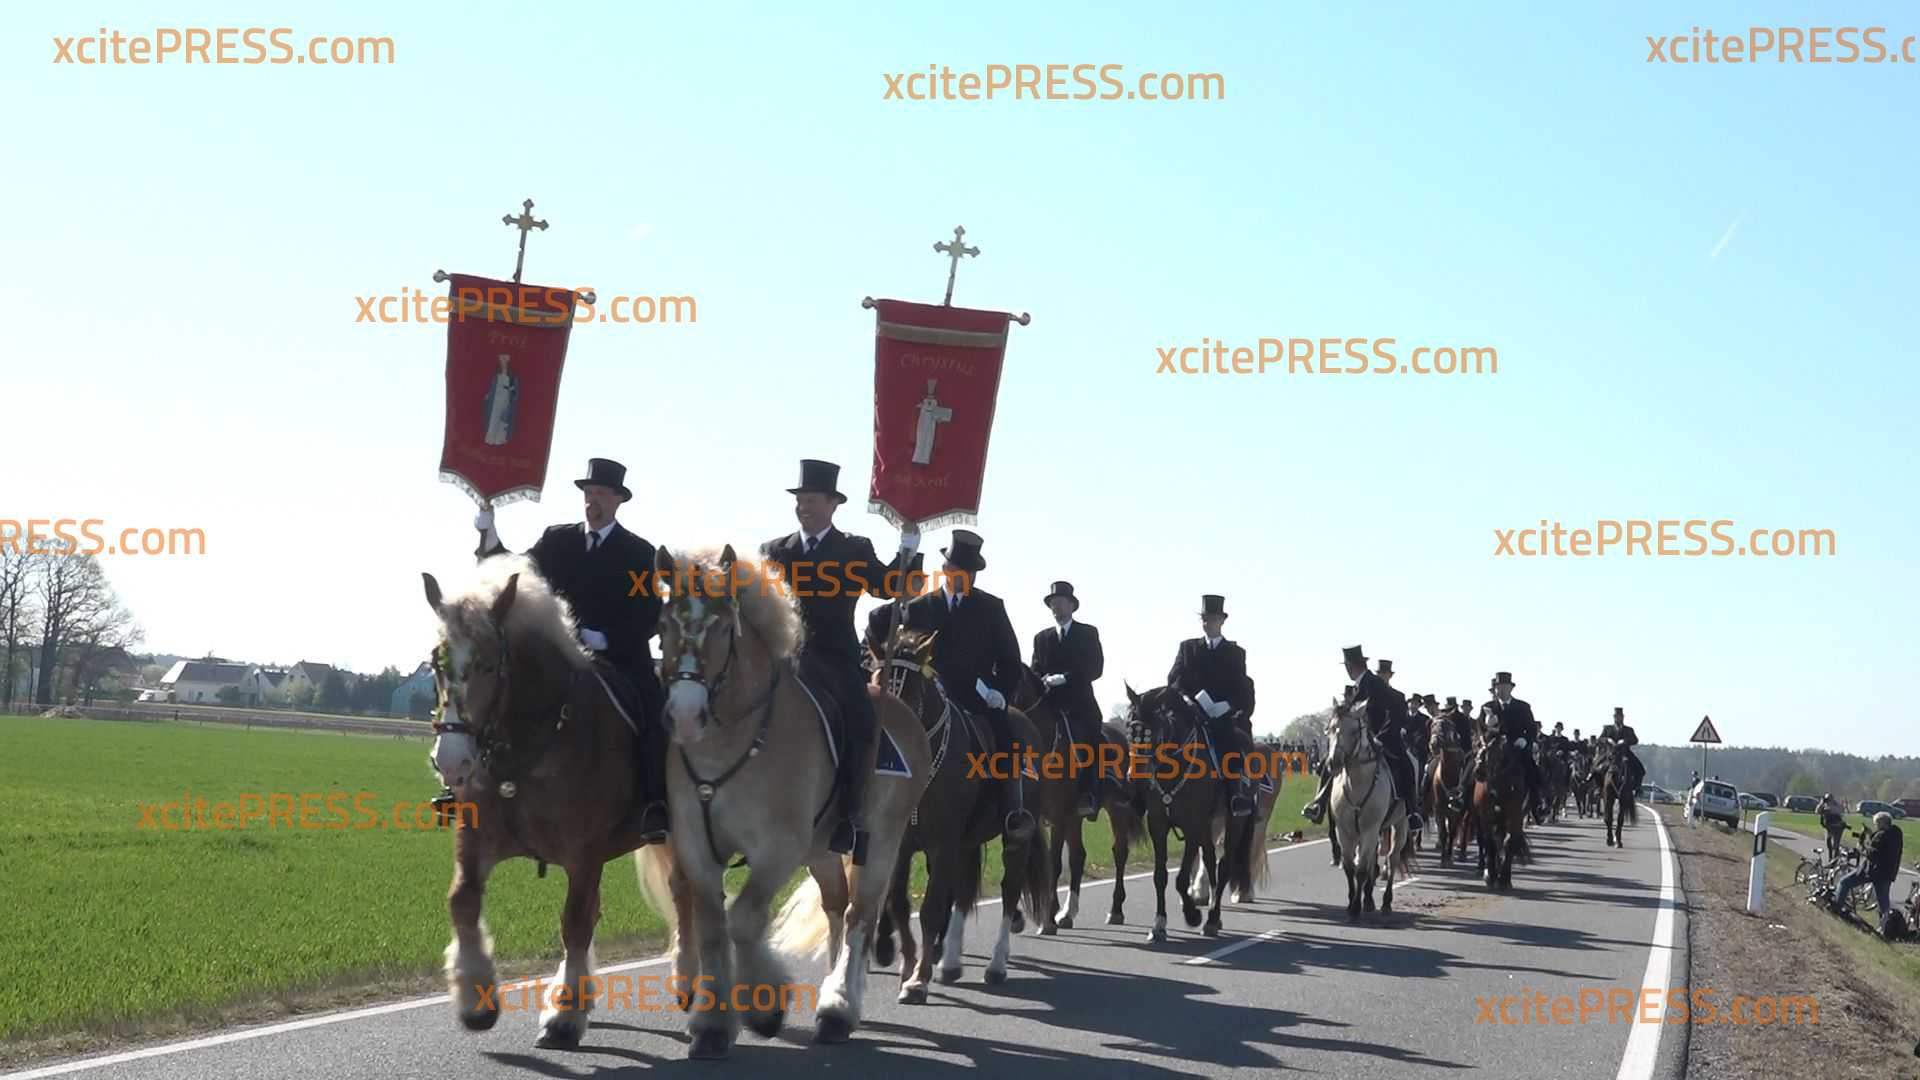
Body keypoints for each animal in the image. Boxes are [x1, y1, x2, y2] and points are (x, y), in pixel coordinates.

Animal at [420, 553, 691, 1045]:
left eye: (487, 664)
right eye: (436, 662)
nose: (450, 760)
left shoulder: (583, 856)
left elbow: (574, 923)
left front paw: (565, 1015)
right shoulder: (475, 842)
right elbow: (462, 902)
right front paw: (476, 1001)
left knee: (683, 895)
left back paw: (690, 982)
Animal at [629, 541, 929, 1053]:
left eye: (723, 627)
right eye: (663, 625)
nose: (685, 715)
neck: (730, 739)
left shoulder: (777, 849)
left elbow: (743, 919)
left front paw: (763, 1007)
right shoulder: (697, 847)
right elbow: (713, 929)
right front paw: (712, 1024)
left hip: (882, 841)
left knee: (860, 914)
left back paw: (839, 1008)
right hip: (823, 850)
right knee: (836, 907)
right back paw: (836, 996)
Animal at [864, 626, 1059, 999]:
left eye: (911, 692)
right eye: (876, 682)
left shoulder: (942, 845)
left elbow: (931, 908)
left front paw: (918, 979)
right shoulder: (901, 845)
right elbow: (899, 904)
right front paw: (909, 966)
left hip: (1014, 839)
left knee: (1009, 890)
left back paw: (996, 965)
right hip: (968, 842)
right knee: (966, 891)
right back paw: (951, 962)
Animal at [1113, 684, 1259, 937]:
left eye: (1152, 733)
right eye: (1129, 730)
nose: (1134, 776)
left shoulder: (1193, 826)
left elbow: (1181, 879)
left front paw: (1192, 915)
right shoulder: (1158, 825)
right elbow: (1160, 876)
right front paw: (1159, 923)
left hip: (1234, 822)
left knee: (1224, 865)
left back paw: (1212, 918)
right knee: (1210, 858)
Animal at [1328, 687, 1420, 914]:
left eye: (1353, 731)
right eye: (1331, 729)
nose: (1333, 762)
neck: (1356, 782)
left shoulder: (1370, 829)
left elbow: (1361, 870)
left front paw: (1355, 908)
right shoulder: (1344, 830)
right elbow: (1350, 867)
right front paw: (1353, 900)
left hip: (1400, 824)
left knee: (1392, 858)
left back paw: (1386, 901)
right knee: (1373, 859)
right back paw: (1369, 898)